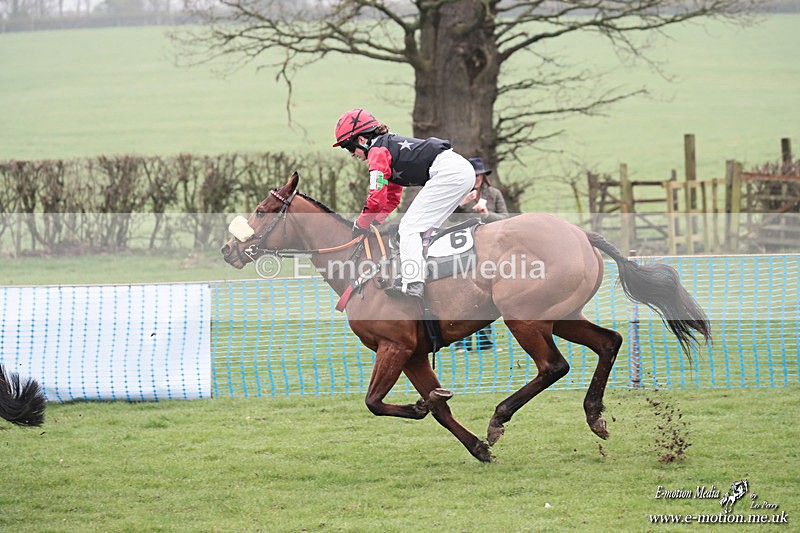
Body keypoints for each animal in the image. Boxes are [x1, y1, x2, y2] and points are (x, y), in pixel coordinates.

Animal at [221, 172, 710, 462]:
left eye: (262, 211)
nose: (228, 250)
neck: (360, 265)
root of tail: (579, 233)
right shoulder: (415, 352)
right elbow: (437, 408)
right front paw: (473, 445)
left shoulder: (393, 346)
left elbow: (375, 402)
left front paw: (434, 413)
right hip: (564, 314)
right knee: (609, 342)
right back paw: (593, 416)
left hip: (524, 317)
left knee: (553, 366)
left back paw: (500, 417)